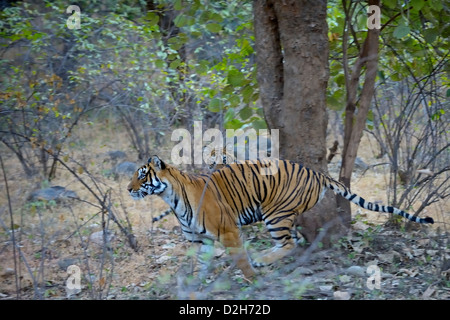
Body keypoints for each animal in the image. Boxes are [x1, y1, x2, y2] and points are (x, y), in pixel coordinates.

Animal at [126, 155, 432, 278]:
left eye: (142, 175)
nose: (128, 189)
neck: (171, 198)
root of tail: (318, 173)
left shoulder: (228, 232)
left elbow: (240, 261)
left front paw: (252, 278)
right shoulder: (200, 242)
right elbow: (199, 266)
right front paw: (194, 286)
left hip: (275, 213)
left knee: (289, 242)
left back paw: (261, 260)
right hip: (282, 216)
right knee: (294, 241)